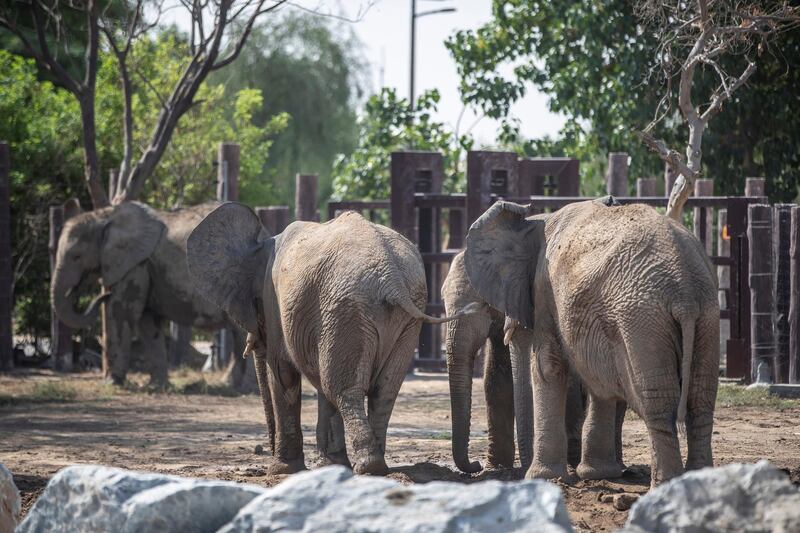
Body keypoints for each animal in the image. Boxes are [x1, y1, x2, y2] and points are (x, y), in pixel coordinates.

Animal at [52, 197, 253, 388]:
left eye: (76, 256)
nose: (103, 295)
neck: (104, 216)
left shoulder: (135, 266)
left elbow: (123, 313)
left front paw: (112, 383)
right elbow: (147, 322)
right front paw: (157, 386)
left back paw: (242, 388)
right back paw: (227, 385)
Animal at [188, 204, 476, 474]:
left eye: (254, 301)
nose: (264, 451)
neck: (264, 243)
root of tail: (390, 277)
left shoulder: (275, 305)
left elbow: (282, 373)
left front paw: (283, 470)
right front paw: (331, 466)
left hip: (346, 309)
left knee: (343, 388)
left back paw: (368, 467)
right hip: (401, 315)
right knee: (381, 389)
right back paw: (377, 466)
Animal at [462, 200, 720, 486]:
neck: (538, 220)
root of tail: (684, 290)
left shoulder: (545, 292)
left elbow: (547, 366)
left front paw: (544, 477)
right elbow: (598, 378)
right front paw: (598, 474)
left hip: (641, 318)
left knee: (659, 402)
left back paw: (666, 485)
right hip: (706, 313)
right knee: (701, 398)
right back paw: (700, 479)